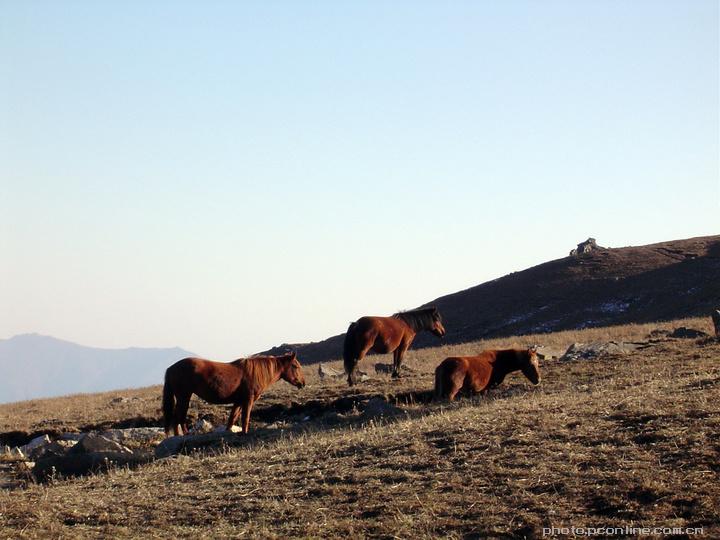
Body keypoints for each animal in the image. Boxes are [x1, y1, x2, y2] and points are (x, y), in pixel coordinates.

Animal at [162, 352, 306, 436]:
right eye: (295, 366)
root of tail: (170, 368)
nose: (303, 383)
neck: (255, 373)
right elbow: (245, 418)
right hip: (184, 397)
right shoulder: (248, 400)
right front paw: (244, 433)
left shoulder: (238, 401)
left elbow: (232, 418)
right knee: (178, 417)